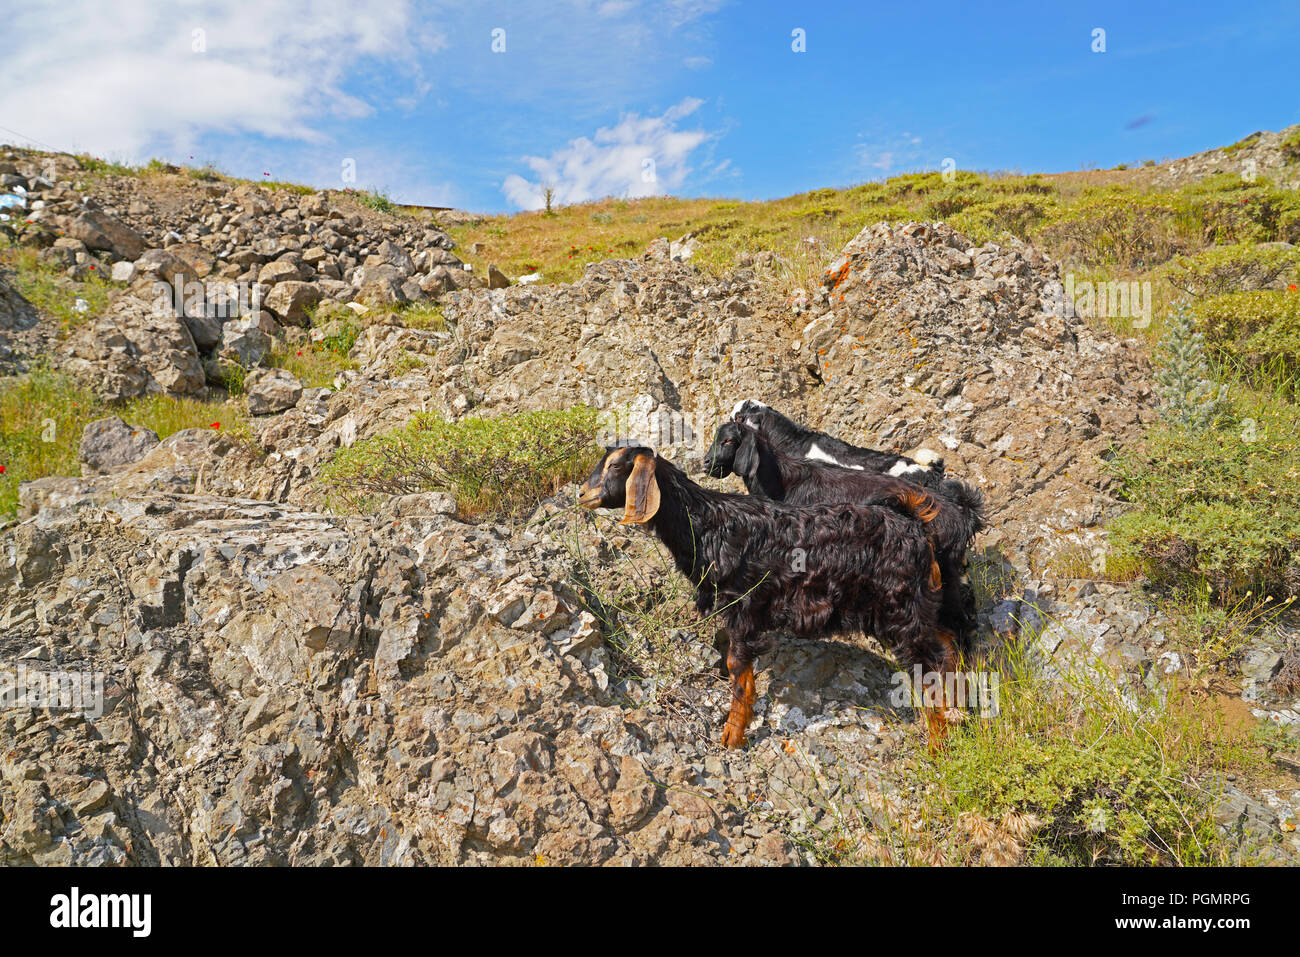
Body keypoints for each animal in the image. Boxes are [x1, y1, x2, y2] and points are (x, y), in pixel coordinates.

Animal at [577, 444, 956, 748]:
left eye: (615, 466)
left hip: (901, 611)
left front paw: (732, 736)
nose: (582, 494)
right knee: (947, 647)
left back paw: (938, 743)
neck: (707, 525)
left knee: (930, 665)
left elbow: (739, 672)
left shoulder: (743, 608)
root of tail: (916, 526)